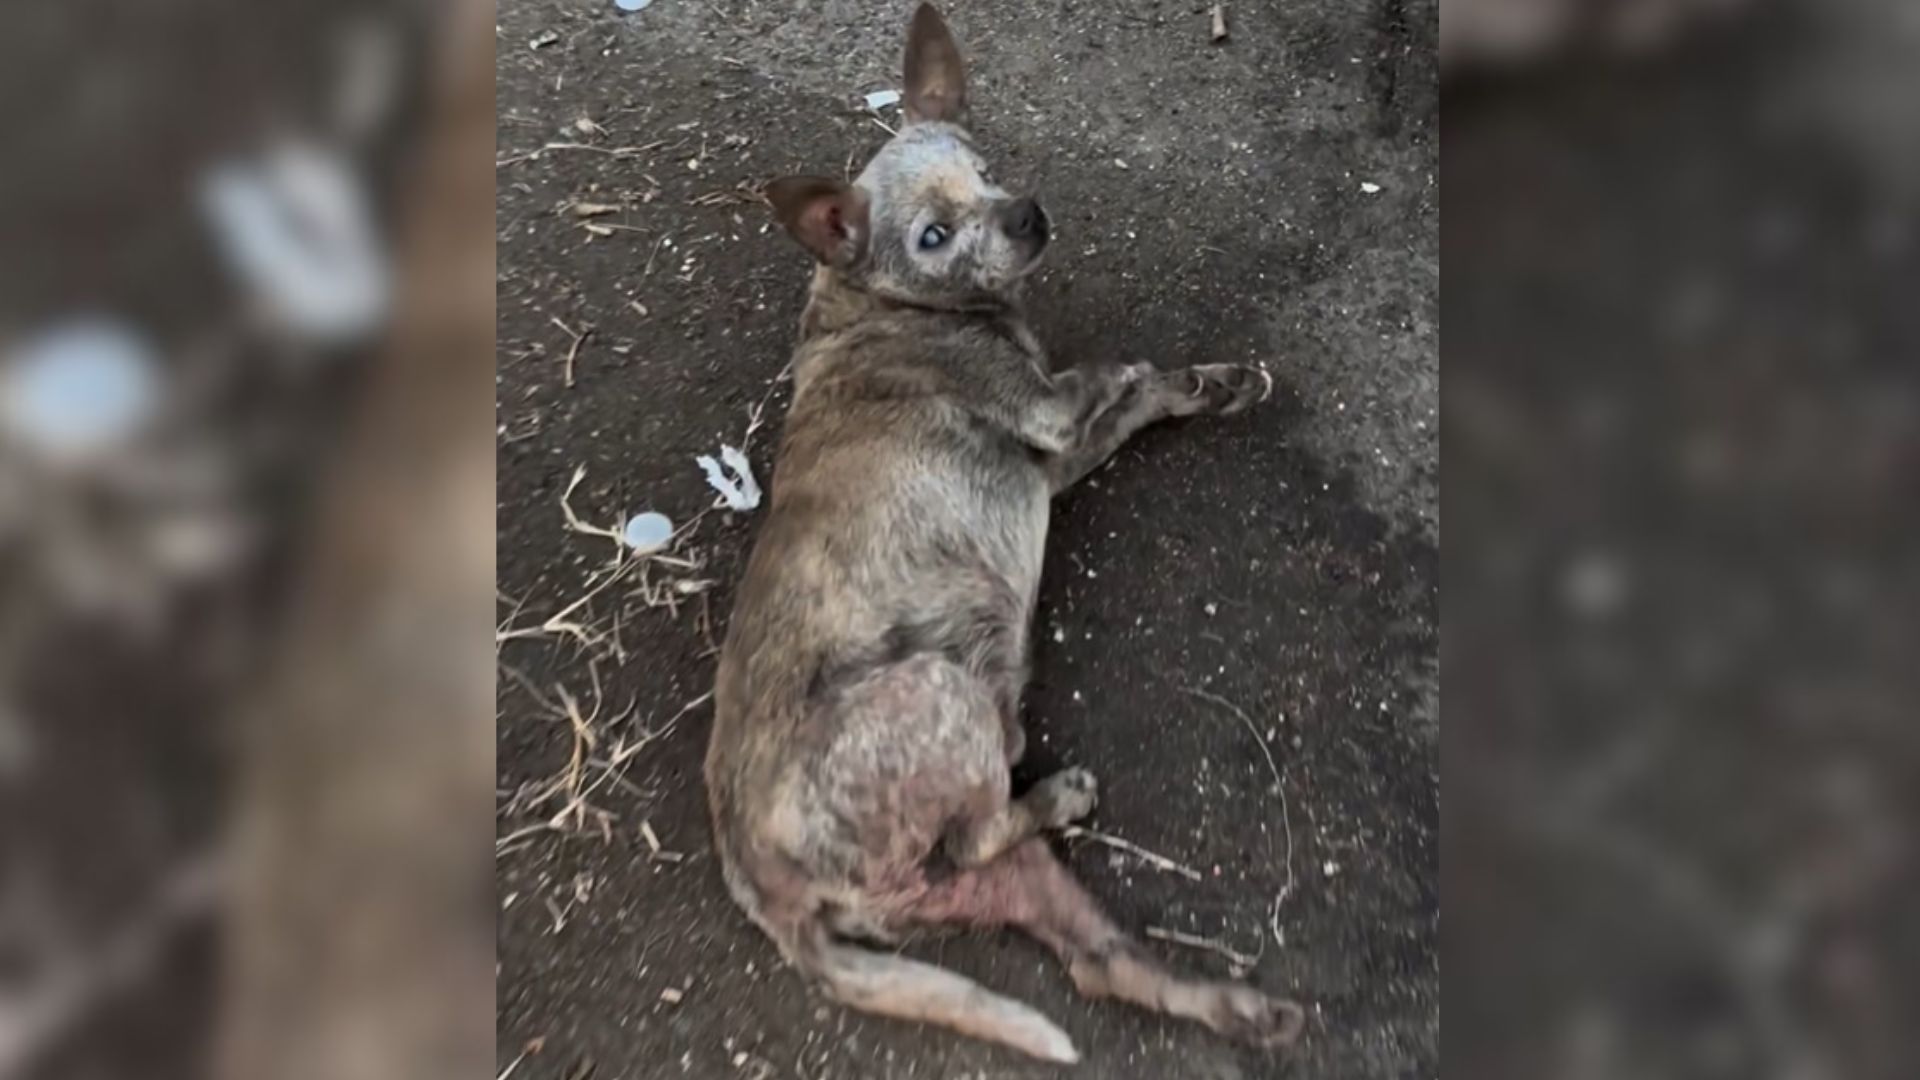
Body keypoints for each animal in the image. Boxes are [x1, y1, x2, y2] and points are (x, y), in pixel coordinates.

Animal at [706, 2, 1305, 1060]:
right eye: (933, 235)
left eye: (985, 168)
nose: (1025, 214)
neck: (876, 300)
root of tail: (761, 889)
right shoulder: (1053, 419)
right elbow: (1127, 378)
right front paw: (1183, 379)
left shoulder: (1054, 461)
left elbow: (1143, 401)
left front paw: (1218, 383)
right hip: (939, 698)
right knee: (975, 830)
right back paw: (1061, 793)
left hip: (994, 879)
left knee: (1097, 958)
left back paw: (1247, 1011)